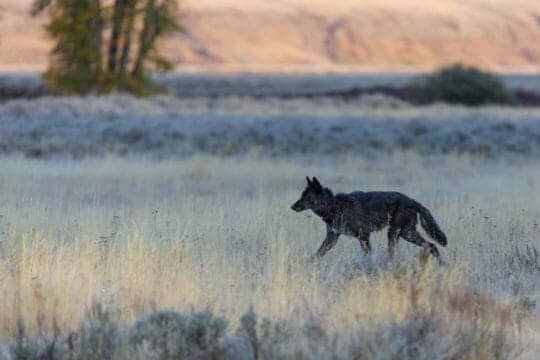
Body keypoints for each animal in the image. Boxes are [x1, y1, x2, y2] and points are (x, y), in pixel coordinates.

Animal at [292, 176, 448, 262]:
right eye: (301, 195)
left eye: (307, 197)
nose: (292, 207)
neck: (334, 206)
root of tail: (413, 201)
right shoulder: (332, 238)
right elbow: (318, 254)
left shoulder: (364, 235)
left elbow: (368, 255)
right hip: (406, 234)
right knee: (431, 246)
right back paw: (441, 265)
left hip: (397, 233)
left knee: (423, 247)